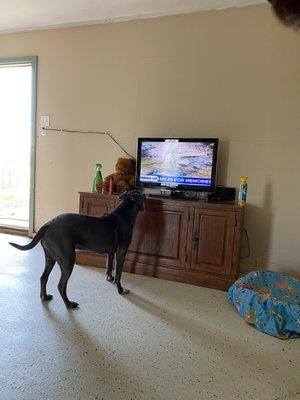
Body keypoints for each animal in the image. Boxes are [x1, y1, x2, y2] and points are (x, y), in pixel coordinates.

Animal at [9, 191, 144, 310]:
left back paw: (45, 296)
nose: (146, 195)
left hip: (50, 257)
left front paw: (109, 278)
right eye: (142, 195)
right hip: (68, 261)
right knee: (61, 286)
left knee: (43, 277)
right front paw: (120, 289)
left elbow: (109, 266)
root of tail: (48, 223)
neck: (123, 214)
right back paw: (69, 304)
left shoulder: (110, 252)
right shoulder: (121, 253)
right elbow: (119, 274)